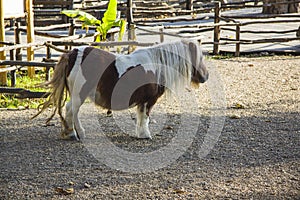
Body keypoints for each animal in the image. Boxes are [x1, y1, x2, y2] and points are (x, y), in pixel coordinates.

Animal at [33, 39, 209, 141]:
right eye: (199, 57)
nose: (206, 76)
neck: (157, 65)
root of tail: (72, 53)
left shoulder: (142, 101)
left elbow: (141, 116)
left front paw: (140, 134)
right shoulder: (149, 100)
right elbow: (145, 117)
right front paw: (145, 135)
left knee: (72, 111)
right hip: (79, 94)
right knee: (71, 109)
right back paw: (73, 134)